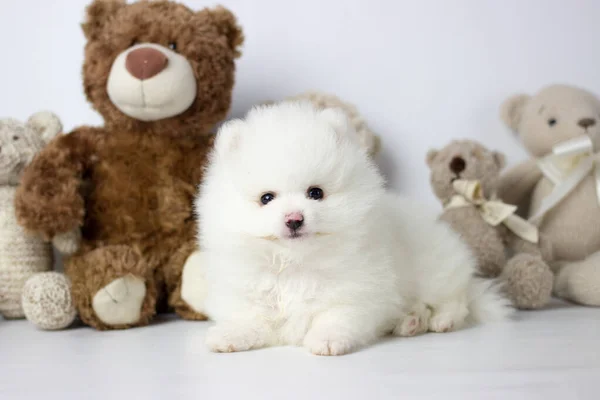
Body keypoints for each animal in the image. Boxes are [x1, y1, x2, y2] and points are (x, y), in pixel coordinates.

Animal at [193, 101, 510, 354]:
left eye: (315, 193)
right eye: (266, 198)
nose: (294, 218)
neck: (296, 264)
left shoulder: (355, 290)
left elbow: (336, 316)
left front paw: (327, 340)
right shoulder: (247, 292)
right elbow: (248, 317)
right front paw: (230, 335)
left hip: (436, 272)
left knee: (456, 300)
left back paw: (441, 320)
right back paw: (409, 321)